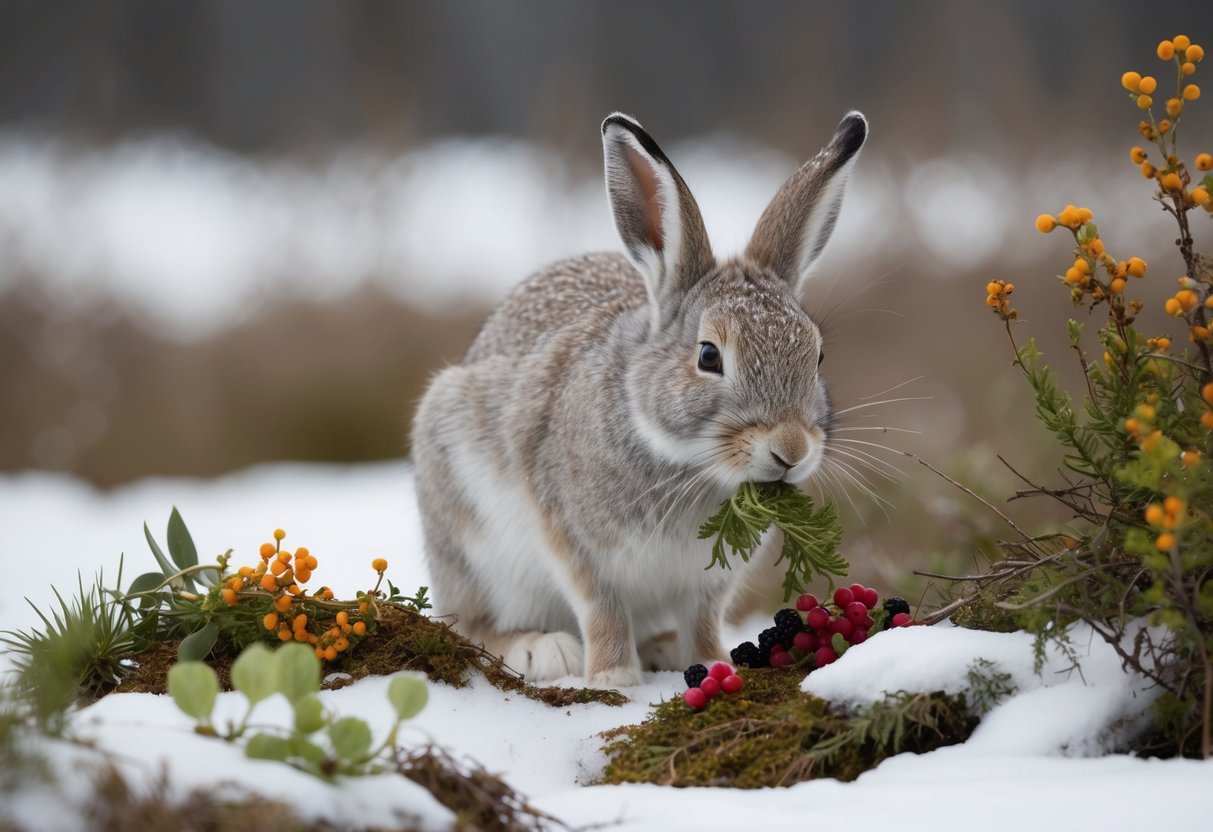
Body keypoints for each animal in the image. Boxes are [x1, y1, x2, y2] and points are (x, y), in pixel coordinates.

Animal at [412, 110, 867, 688]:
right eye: (709, 356)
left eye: (818, 356)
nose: (791, 450)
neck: (689, 463)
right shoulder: (572, 538)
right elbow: (600, 606)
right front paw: (613, 676)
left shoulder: (707, 582)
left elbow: (703, 618)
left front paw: (713, 661)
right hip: (465, 539)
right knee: (470, 623)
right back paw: (542, 650)